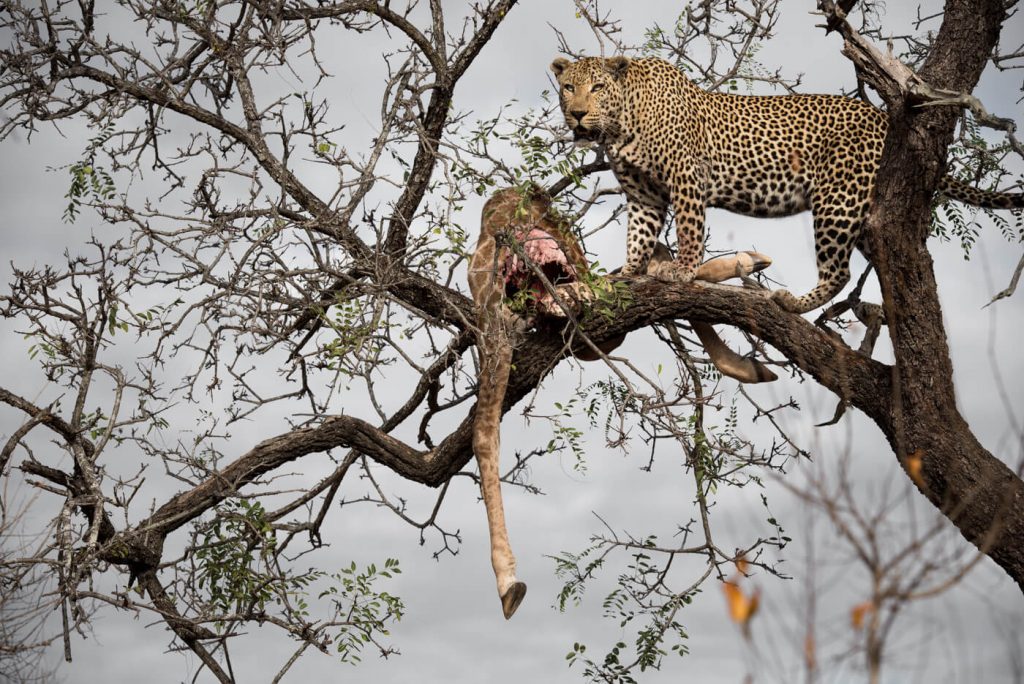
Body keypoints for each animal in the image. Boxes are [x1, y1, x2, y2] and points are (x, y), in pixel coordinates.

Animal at [550, 55, 1024, 314]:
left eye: (597, 86)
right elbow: (639, 235)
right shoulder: (643, 193)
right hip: (863, 210)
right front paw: (626, 273)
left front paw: (682, 270)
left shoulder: (686, 177)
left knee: (838, 270)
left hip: (837, 202)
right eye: (568, 87)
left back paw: (793, 303)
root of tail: (881, 116)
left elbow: (688, 229)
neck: (621, 123)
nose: (576, 114)